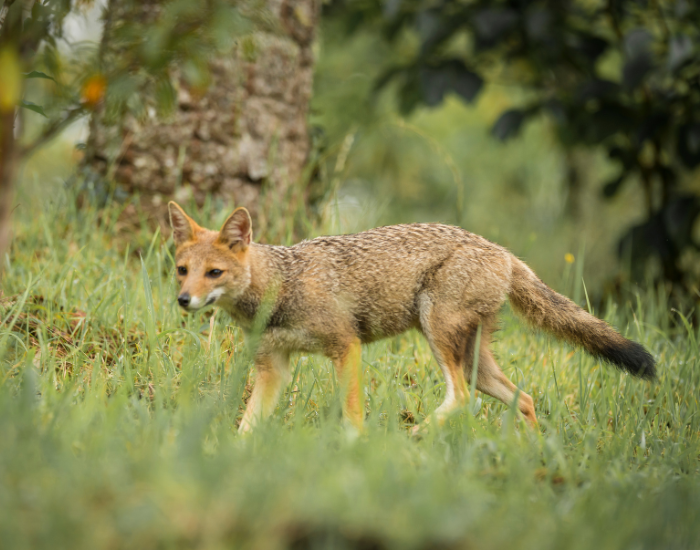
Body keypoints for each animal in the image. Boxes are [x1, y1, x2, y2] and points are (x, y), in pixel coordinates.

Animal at [168, 201, 656, 433]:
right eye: (182, 269)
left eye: (214, 273)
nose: (184, 301)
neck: (279, 287)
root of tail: (504, 252)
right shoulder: (273, 368)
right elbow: (247, 427)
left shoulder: (345, 346)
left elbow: (352, 413)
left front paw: (356, 449)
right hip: (475, 361)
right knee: (525, 399)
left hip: (439, 336)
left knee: (461, 398)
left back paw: (416, 436)